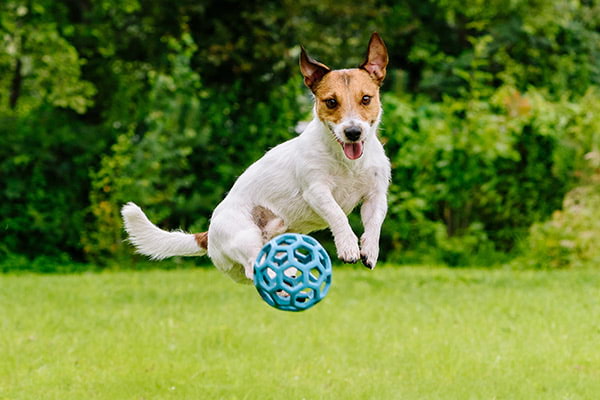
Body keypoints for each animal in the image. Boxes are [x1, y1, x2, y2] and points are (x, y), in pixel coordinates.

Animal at [122, 32, 394, 282]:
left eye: (366, 99)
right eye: (331, 102)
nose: (353, 132)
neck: (348, 163)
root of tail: (208, 235)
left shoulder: (376, 195)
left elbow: (375, 222)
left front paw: (369, 249)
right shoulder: (316, 190)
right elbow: (337, 214)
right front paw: (348, 246)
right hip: (245, 237)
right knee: (254, 268)